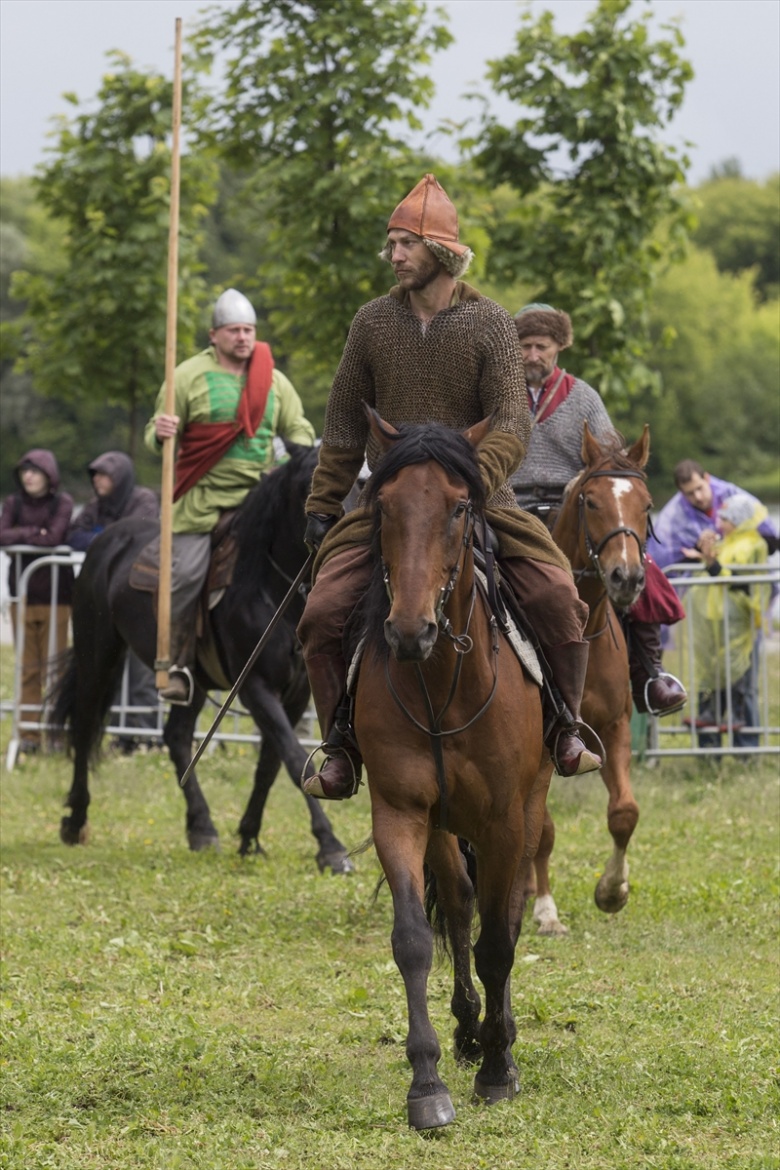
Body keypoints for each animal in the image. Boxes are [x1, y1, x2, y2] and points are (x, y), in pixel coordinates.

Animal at [50, 442, 353, 875]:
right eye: (312, 483)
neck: (269, 587)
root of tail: (107, 540)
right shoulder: (256, 688)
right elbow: (295, 757)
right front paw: (329, 844)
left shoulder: (295, 696)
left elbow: (270, 765)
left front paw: (249, 836)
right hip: (98, 656)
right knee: (85, 724)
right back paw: (76, 819)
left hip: (190, 681)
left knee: (175, 736)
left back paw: (201, 827)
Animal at [353, 414, 549, 1132]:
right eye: (384, 506)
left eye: (460, 507)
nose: (410, 630)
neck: (442, 681)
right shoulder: (401, 813)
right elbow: (415, 939)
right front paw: (428, 1083)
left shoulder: (503, 822)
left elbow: (499, 942)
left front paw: (497, 1069)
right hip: (443, 825)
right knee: (460, 905)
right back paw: (468, 1030)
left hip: (530, 808)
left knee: (506, 913)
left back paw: (500, 1037)